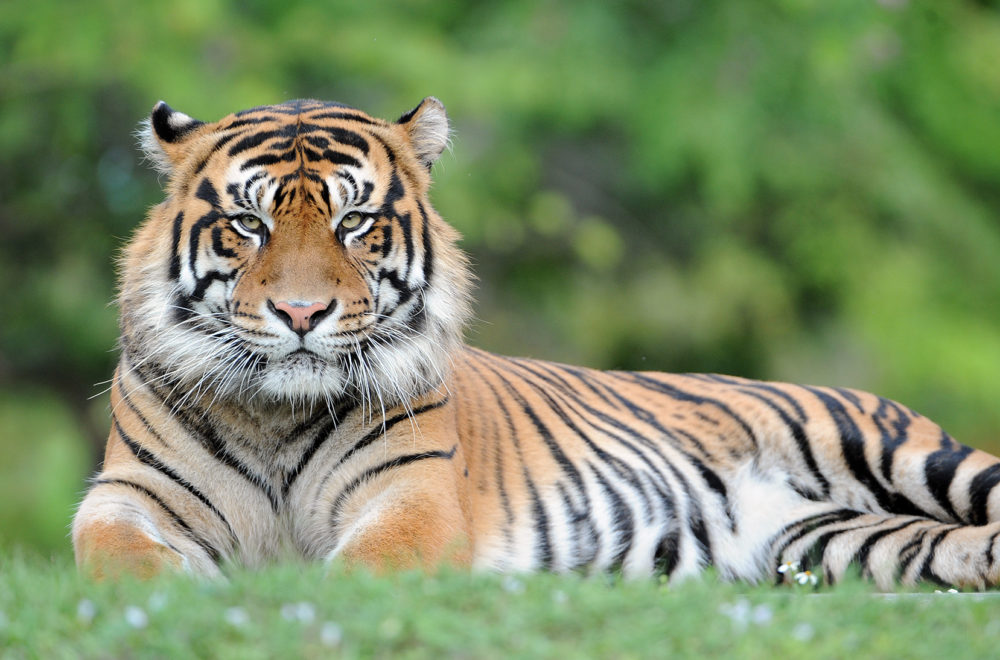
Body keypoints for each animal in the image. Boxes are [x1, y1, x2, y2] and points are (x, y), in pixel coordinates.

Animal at [73, 97, 1000, 590]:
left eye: (355, 222)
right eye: (249, 224)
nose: (303, 314)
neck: (275, 413)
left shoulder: (412, 497)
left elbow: (365, 566)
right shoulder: (127, 493)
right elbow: (115, 555)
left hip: (911, 456)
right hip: (828, 543)